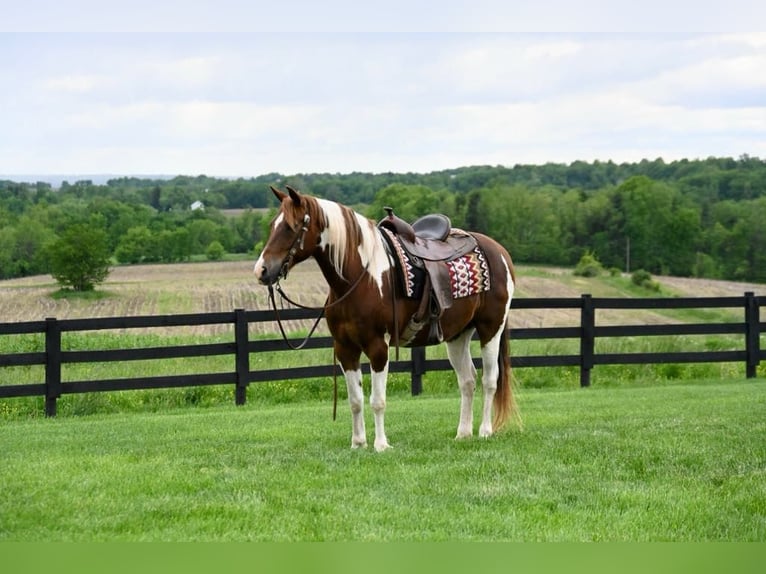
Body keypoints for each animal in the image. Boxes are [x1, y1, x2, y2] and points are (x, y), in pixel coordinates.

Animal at [254, 185, 518, 451]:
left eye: (291, 226)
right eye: (272, 225)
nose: (261, 270)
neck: (361, 277)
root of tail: (499, 252)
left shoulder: (378, 346)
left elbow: (377, 400)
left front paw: (381, 445)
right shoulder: (345, 348)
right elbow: (355, 400)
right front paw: (358, 443)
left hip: (491, 329)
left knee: (489, 379)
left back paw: (485, 431)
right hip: (458, 336)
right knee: (467, 381)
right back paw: (463, 433)